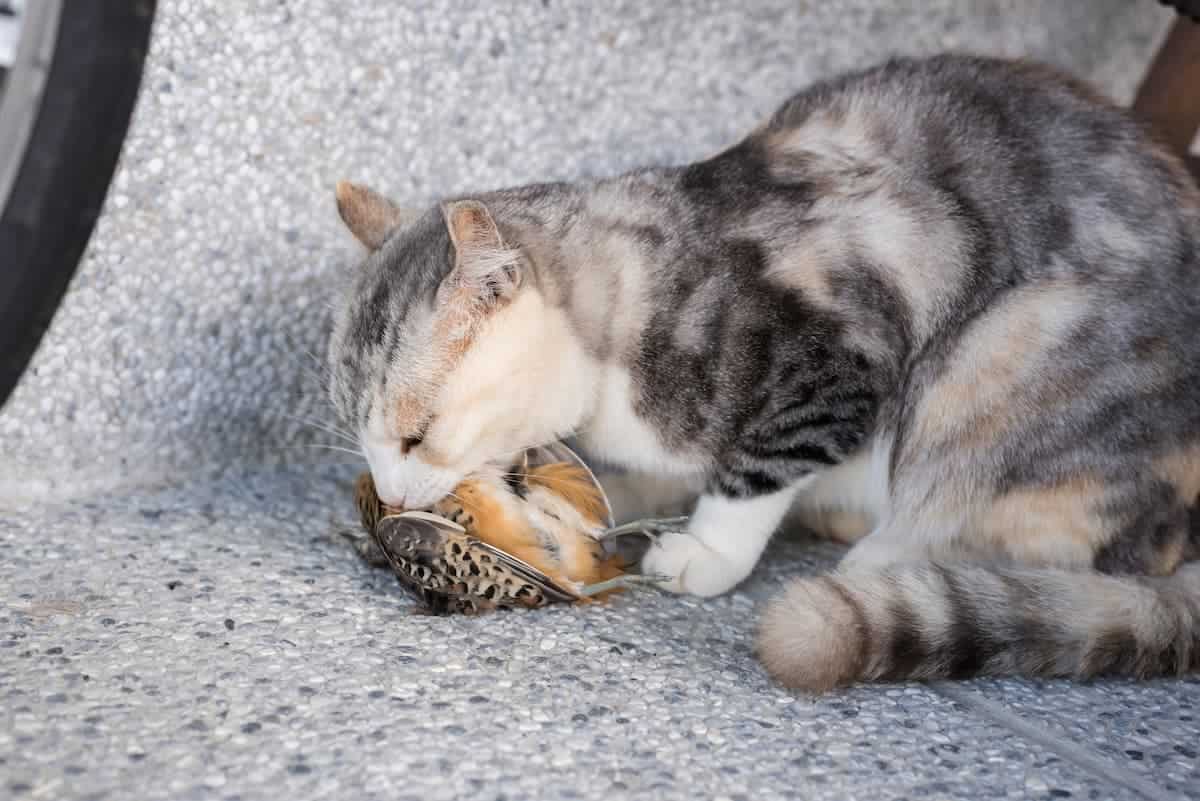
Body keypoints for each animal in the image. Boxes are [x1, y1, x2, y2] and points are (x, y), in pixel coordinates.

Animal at [324, 53, 1200, 690]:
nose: (390, 495)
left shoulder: (834, 364)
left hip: (998, 356)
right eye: (363, 436)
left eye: (416, 434)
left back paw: (882, 557)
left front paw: (705, 552)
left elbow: (758, 469)